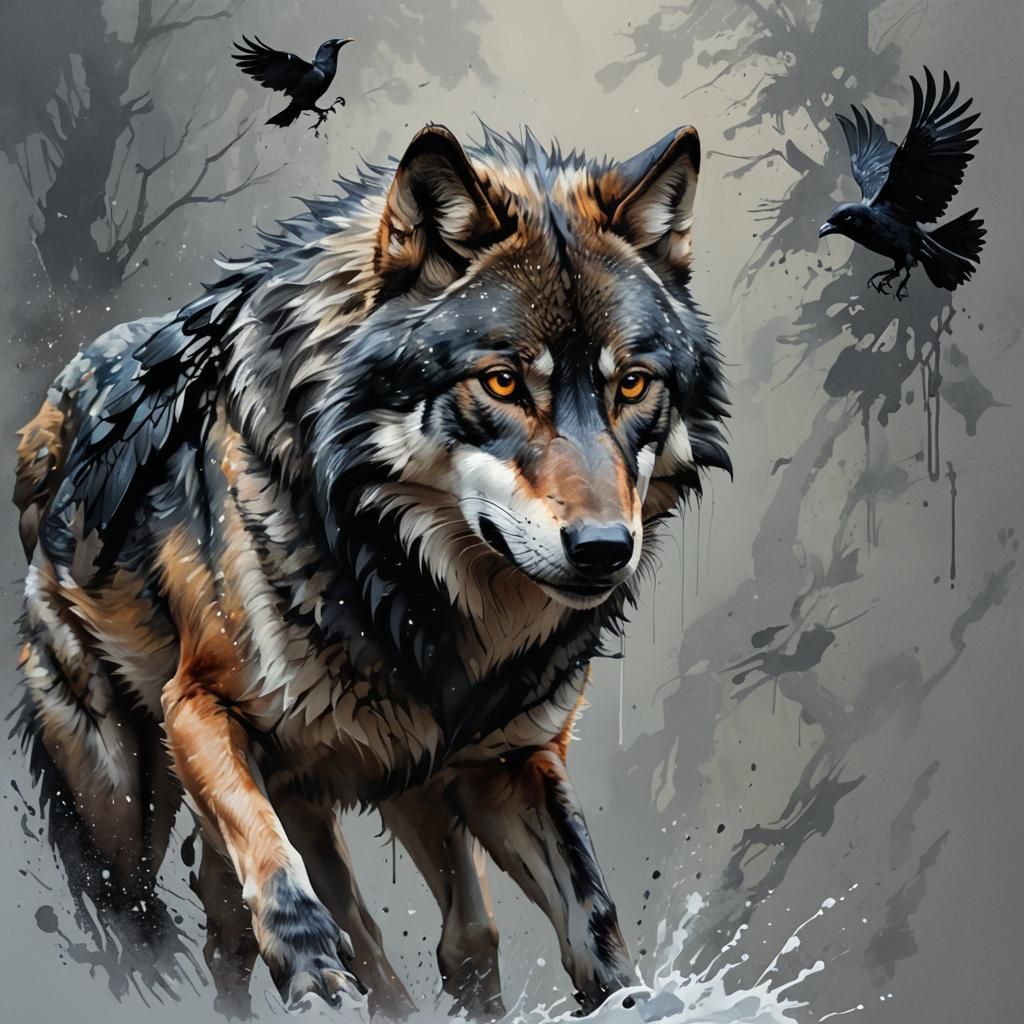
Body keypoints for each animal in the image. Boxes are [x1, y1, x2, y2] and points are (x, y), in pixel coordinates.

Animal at [13, 122, 729, 1018]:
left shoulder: (507, 766)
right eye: (502, 382)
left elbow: (589, 915)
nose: (603, 548)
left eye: (632, 384)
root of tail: (50, 411)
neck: (402, 584)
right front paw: (313, 975)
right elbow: (282, 880)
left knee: (441, 936)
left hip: (402, 783)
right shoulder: (201, 711)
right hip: (126, 810)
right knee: (173, 926)